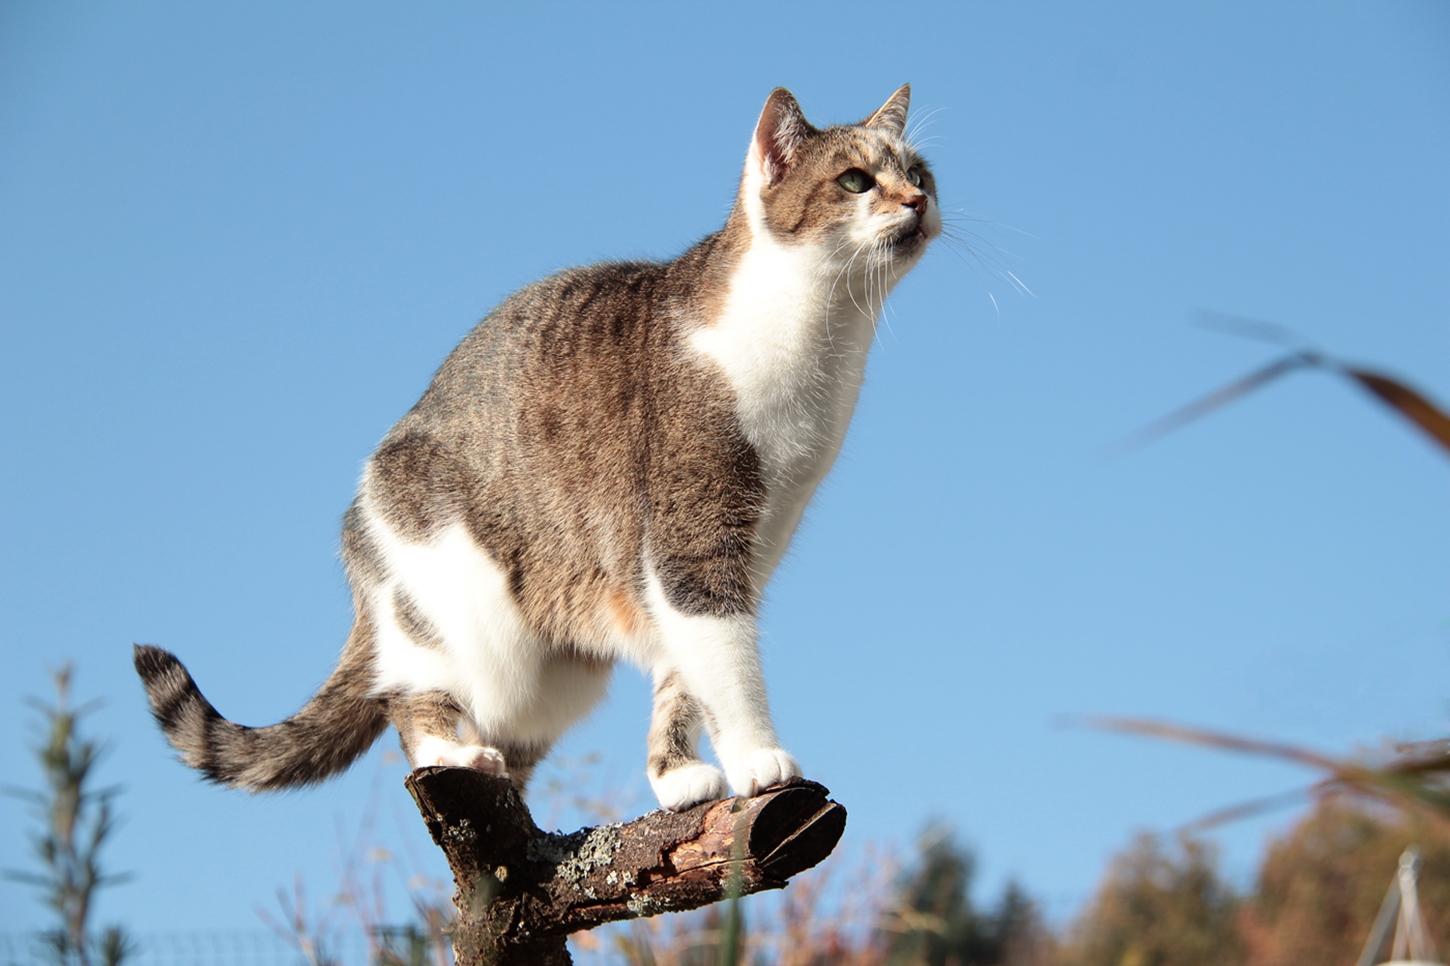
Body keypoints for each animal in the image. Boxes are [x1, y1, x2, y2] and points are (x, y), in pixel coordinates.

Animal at [136, 86, 939, 812]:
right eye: (856, 181)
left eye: (921, 172)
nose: (916, 202)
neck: (822, 343)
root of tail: (356, 535)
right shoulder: (692, 543)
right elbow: (729, 668)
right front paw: (758, 761)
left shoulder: (743, 551)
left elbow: (685, 679)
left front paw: (677, 778)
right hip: (453, 612)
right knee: (407, 696)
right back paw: (457, 754)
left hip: (556, 675)